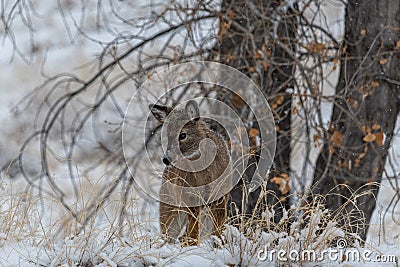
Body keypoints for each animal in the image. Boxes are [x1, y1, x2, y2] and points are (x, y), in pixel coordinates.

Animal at [149, 100, 231, 247]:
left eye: (182, 135)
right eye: (167, 136)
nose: (166, 159)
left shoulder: (222, 197)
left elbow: (218, 230)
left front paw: (221, 246)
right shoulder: (190, 197)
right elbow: (193, 232)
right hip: (170, 207)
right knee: (169, 235)